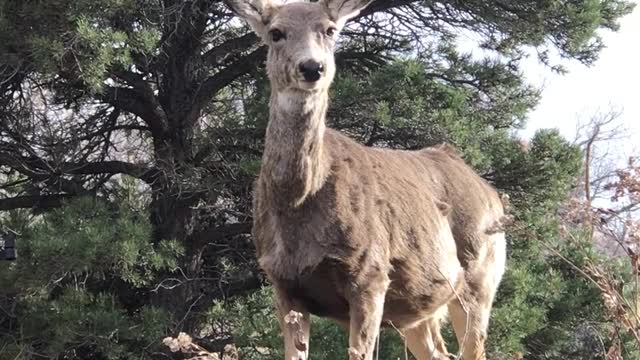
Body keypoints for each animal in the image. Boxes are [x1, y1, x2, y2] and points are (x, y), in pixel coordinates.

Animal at [226, 0, 510, 358]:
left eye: (330, 30)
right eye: (276, 33)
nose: (312, 67)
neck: (299, 203)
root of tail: (492, 193)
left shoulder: (371, 276)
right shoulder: (283, 283)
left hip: (480, 277)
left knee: (475, 345)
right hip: (417, 307)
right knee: (440, 351)